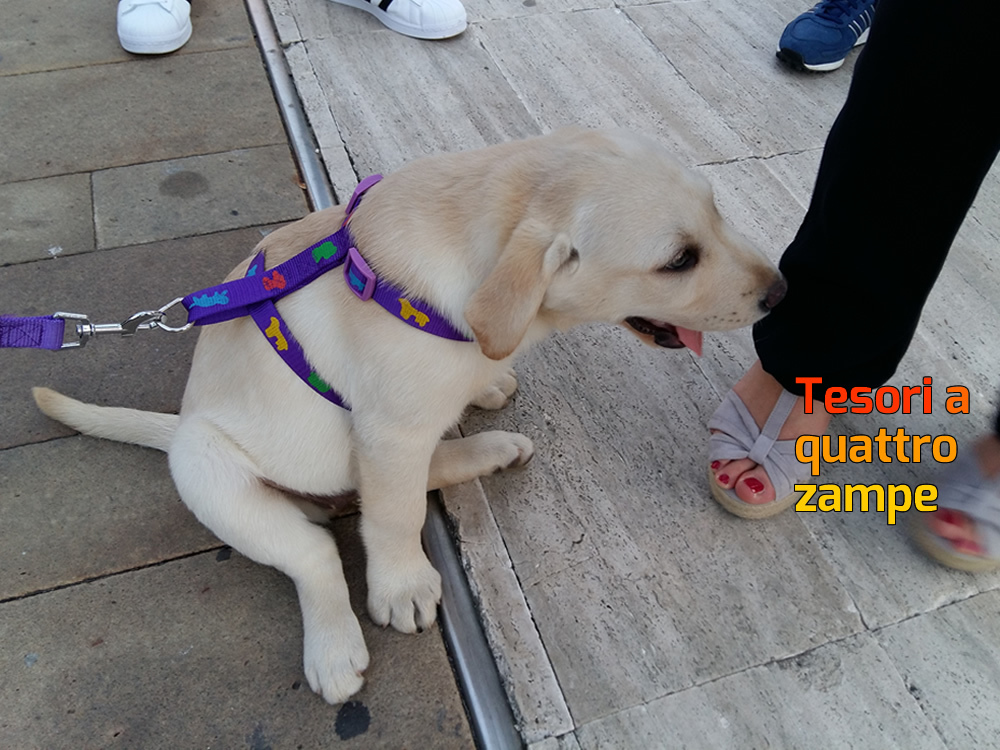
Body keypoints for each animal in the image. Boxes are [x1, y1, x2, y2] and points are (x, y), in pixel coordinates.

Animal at [31, 126, 784, 708]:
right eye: (679, 260)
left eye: (718, 212)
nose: (780, 292)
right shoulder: (390, 431)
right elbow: (392, 515)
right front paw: (402, 585)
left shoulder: (409, 420)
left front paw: (489, 379)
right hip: (205, 463)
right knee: (317, 548)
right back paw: (334, 646)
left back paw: (492, 444)